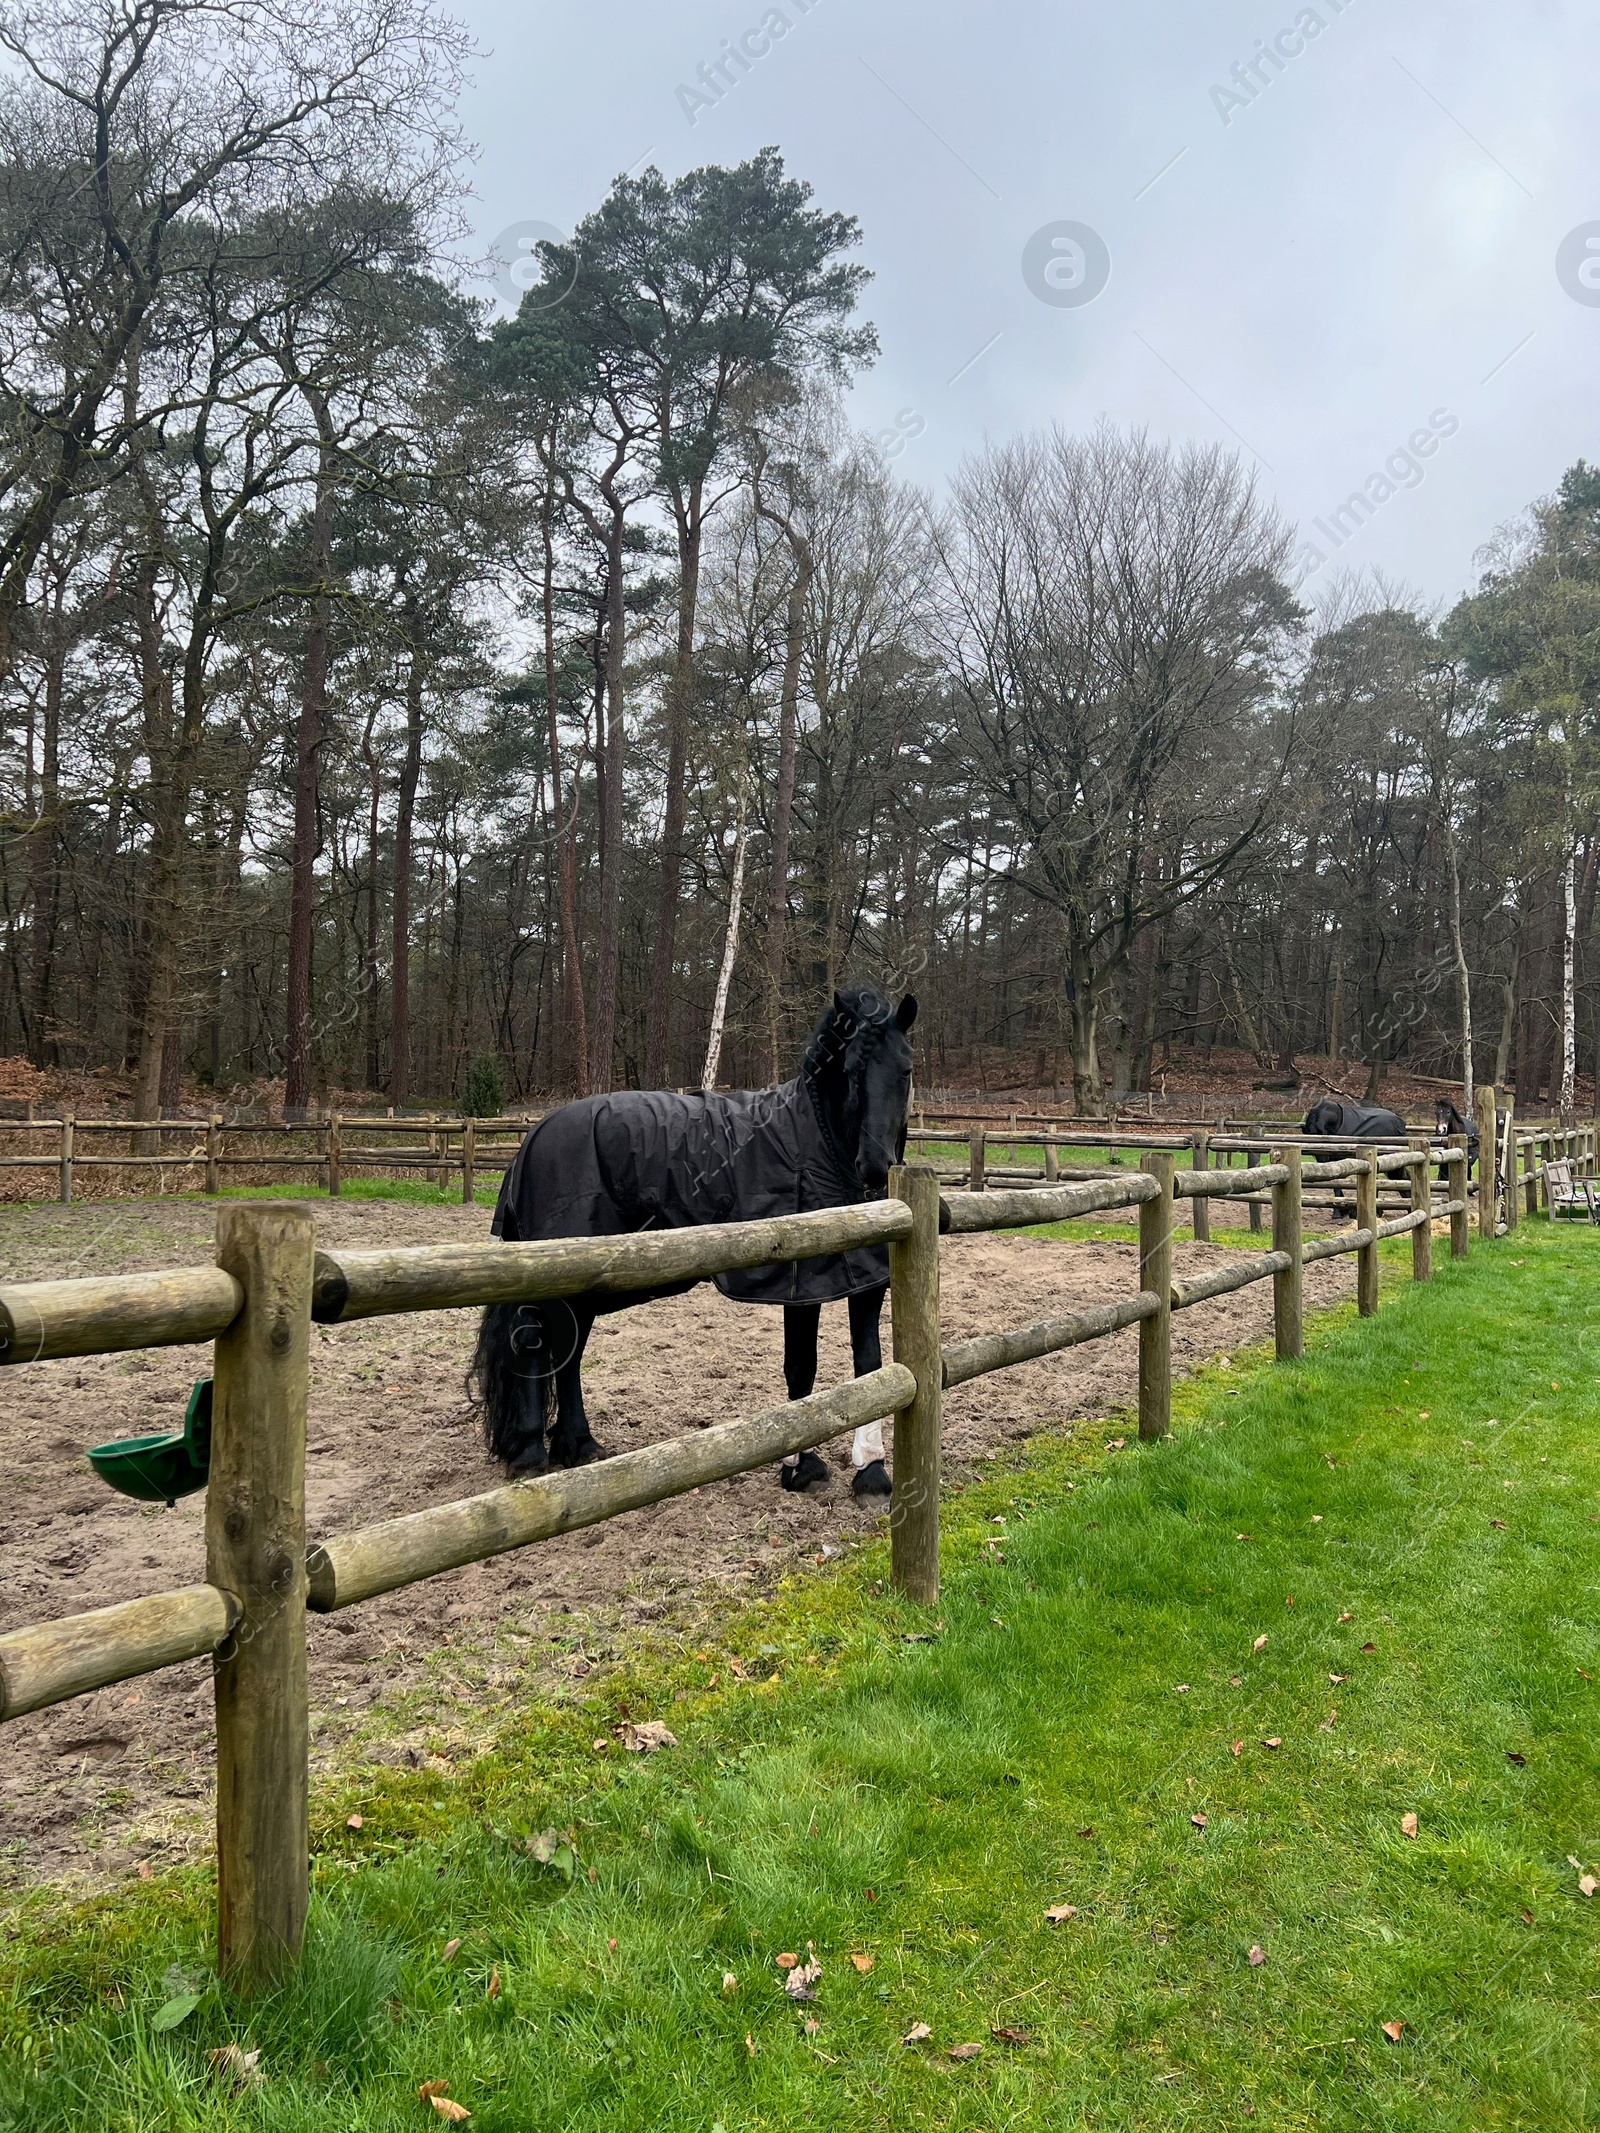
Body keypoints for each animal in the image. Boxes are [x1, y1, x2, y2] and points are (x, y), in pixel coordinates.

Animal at [469, 985, 921, 1501]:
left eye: (905, 1070)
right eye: (850, 1072)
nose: (874, 1166)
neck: (817, 1142)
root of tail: (536, 1135)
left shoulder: (864, 1278)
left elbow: (871, 1366)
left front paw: (872, 1471)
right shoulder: (802, 1282)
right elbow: (802, 1366)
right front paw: (800, 1468)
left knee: (569, 1352)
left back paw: (579, 1446)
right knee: (531, 1342)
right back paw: (529, 1454)